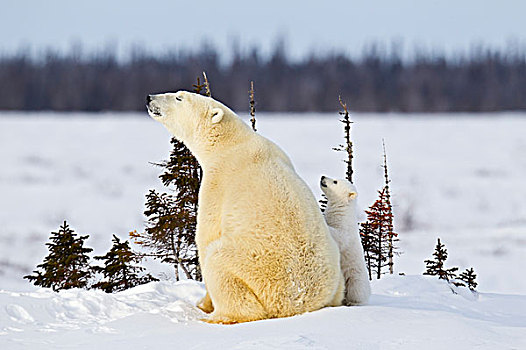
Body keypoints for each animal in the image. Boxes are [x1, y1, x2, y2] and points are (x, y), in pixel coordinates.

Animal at [148, 91, 346, 324]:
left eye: (179, 97)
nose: (150, 97)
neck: (231, 142)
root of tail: (298, 302)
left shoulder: (218, 182)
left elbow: (206, 235)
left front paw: (203, 303)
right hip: (335, 279)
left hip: (254, 267)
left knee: (221, 266)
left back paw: (215, 316)